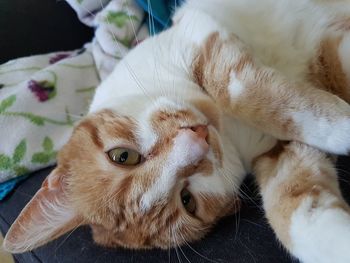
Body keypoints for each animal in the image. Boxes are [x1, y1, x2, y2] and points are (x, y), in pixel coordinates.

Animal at [4, 0, 350, 263]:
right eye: (187, 200)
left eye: (122, 156)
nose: (197, 140)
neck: (224, 124)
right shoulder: (275, 152)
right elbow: (297, 214)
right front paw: (337, 243)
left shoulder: (197, 32)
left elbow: (243, 94)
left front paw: (342, 127)